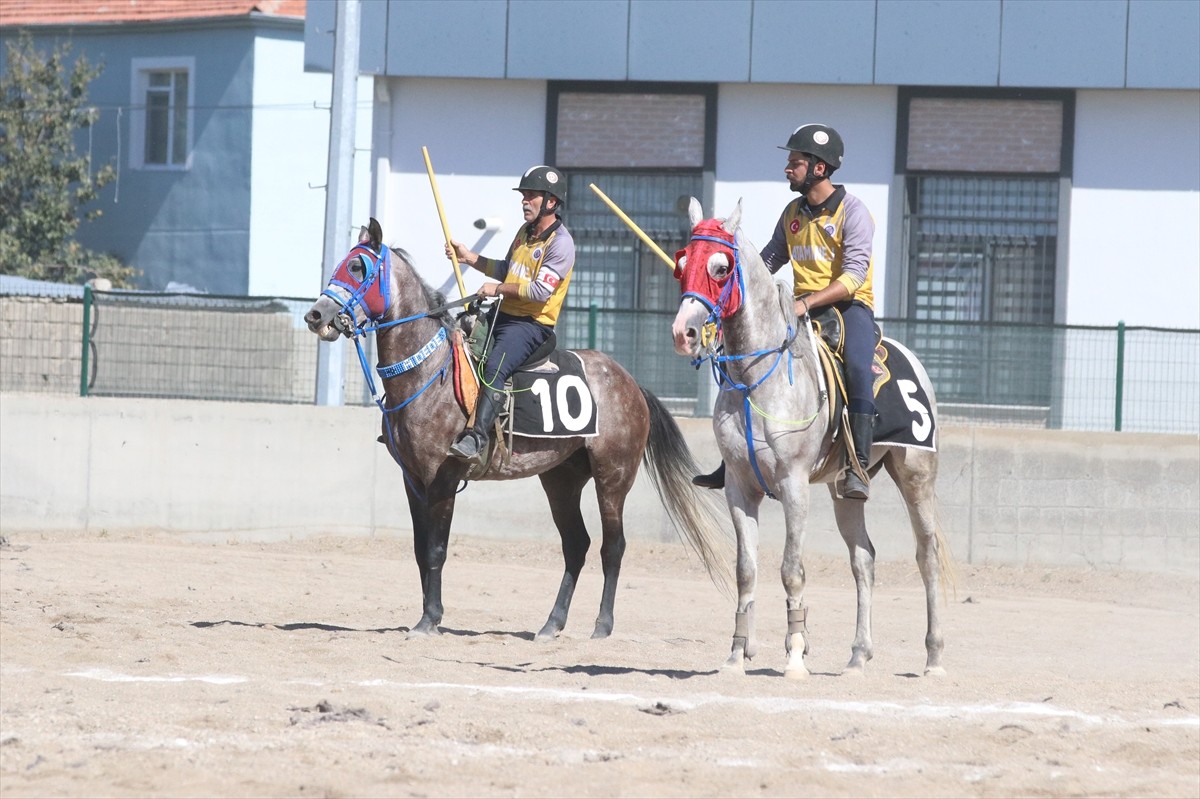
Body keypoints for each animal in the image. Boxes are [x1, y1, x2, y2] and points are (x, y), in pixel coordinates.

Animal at [304, 220, 724, 638]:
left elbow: (436, 550)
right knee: (576, 544)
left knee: (613, 547)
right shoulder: (413, 480)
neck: (430, 370)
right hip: (561, 479)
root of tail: (632, 383)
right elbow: (421, 551)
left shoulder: (442, 479)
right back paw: (551, 624)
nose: (315, 316)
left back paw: (602, 625)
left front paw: (430, 619)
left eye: (357, 267)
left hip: (613, 478)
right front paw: (427, 616)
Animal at [672, 195, 950, 676]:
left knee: (926, 553)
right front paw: (736, 655)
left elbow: (791, 569)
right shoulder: (739, 488)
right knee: (864, 559)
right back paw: (858, 654)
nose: (683, 333)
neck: (758, 377)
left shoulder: (794, 484)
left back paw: (933, 656)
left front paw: (796, 655)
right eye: (683, 262)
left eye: (721, 268)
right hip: (845, 490)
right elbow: (746, 570)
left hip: (916, 476)